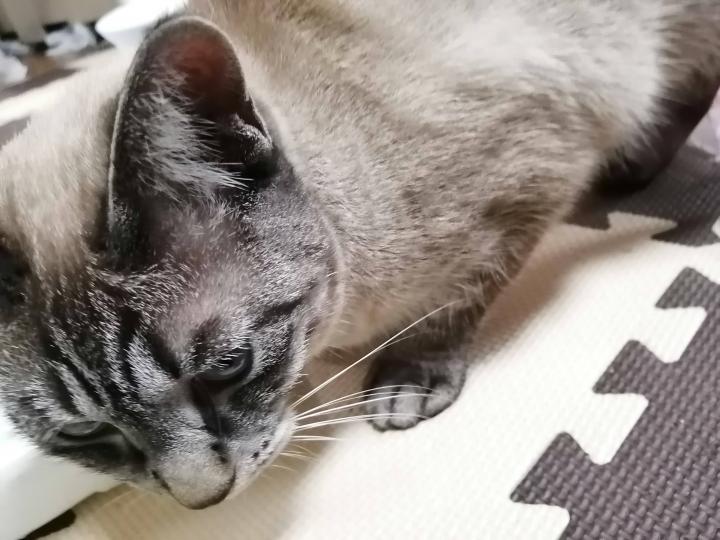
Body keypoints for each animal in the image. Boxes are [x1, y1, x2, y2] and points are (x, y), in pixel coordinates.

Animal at [0, 0, 719, 509]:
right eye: (83, 436)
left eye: (229, 366)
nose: (202, 500)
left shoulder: (536, 174)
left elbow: (453, 303)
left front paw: (407, 380)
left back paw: (639, 168)